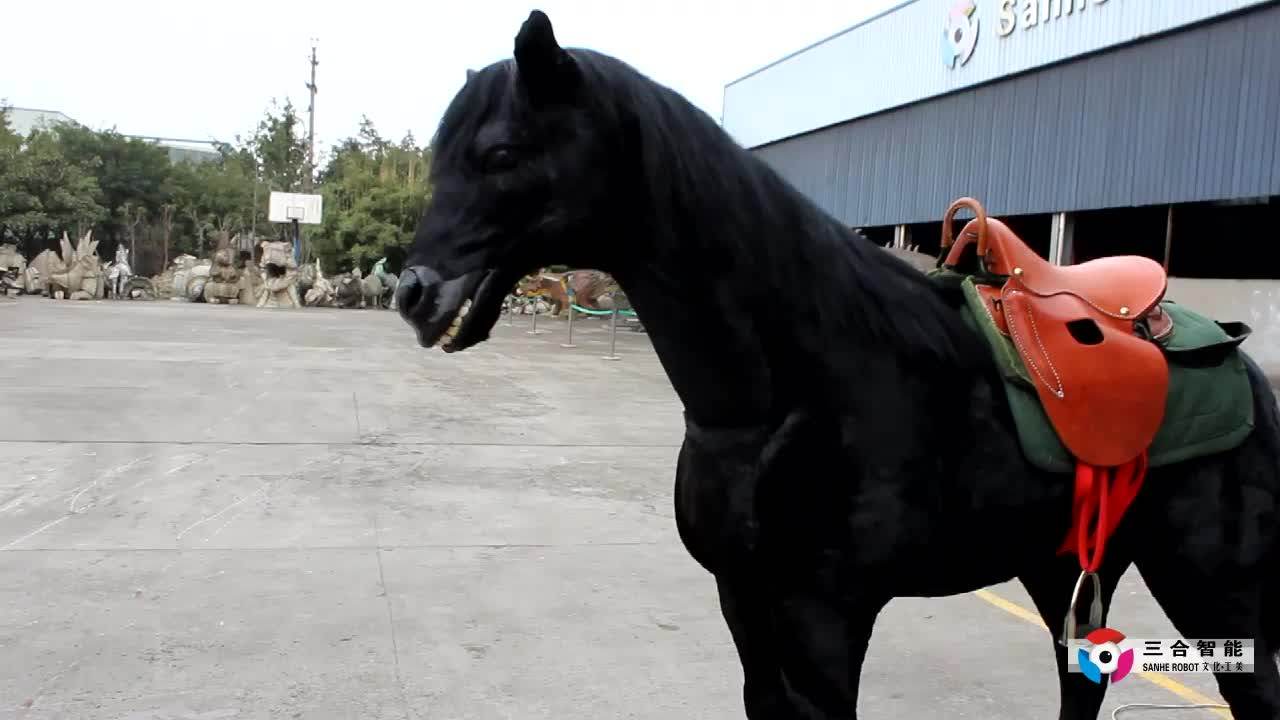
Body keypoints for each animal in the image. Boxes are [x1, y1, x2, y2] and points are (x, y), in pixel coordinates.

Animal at [393, 11, 1280, 718]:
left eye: (502, 152)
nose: (411, 292)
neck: (789, 396)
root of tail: (1242, 366)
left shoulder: (825, 619)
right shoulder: (745, 606)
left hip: (1217, 589)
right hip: (1063, 565)